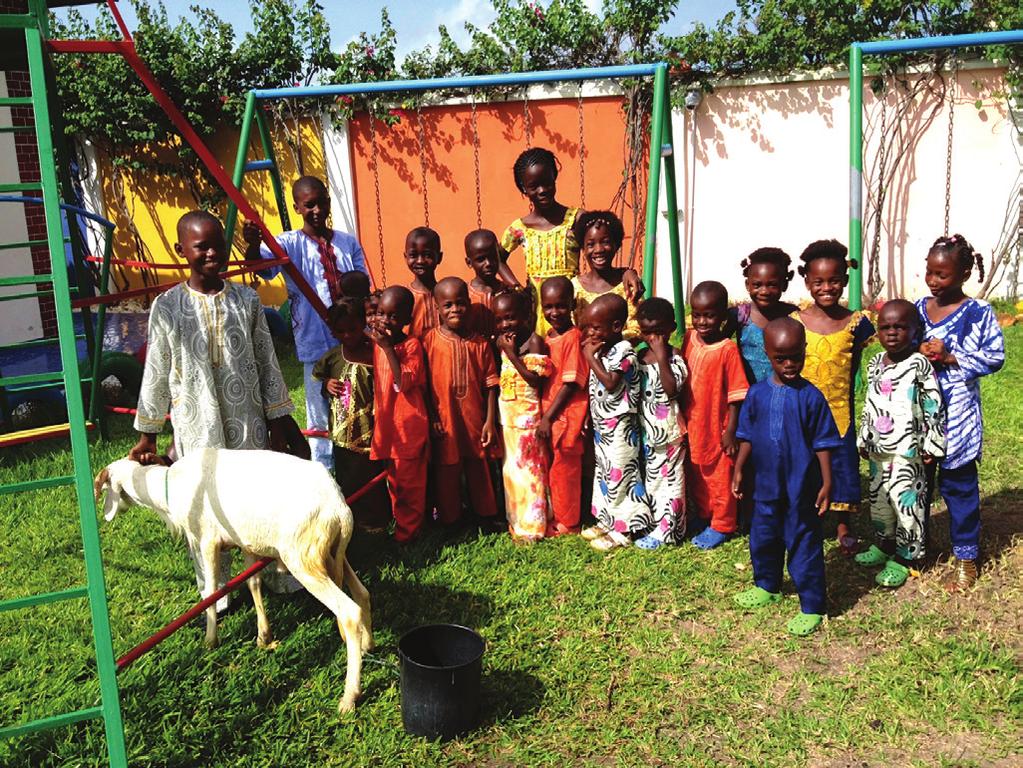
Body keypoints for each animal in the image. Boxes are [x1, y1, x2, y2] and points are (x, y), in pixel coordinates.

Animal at [95, 443, 372, 715]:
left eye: (106, 487)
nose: (105, 517)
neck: (169, 490)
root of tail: (339, 509)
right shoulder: (245, 543)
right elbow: (253, 584)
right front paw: (263, 636)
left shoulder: (207, 541)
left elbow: (210, 592)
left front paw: (210, 640)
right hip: (330, 554)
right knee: (362, 593)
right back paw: (368, 645)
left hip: (303, 558)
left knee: (349, 612)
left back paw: (349, 697)